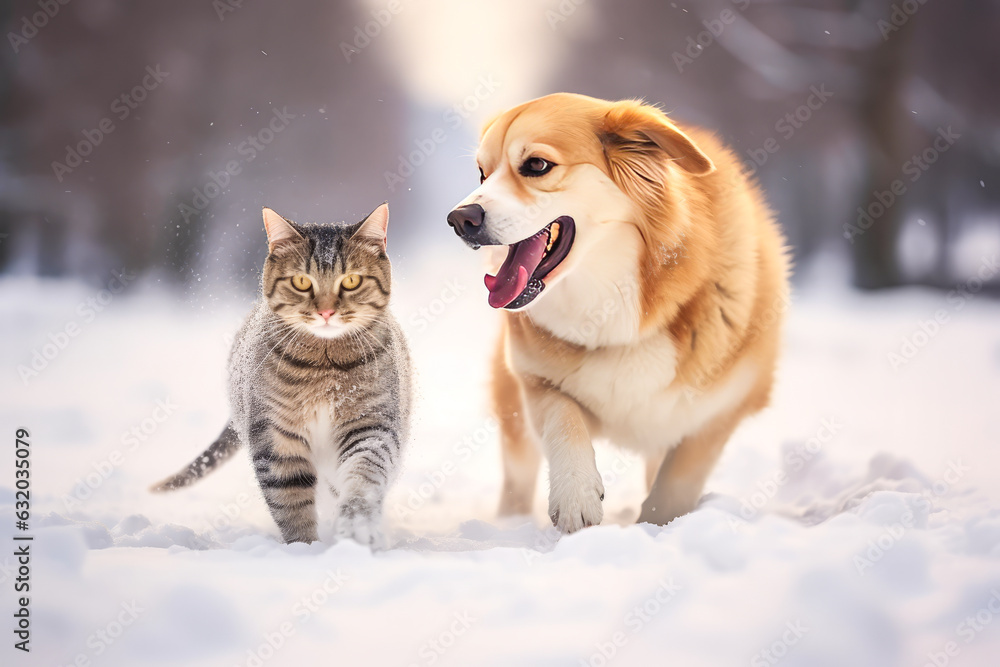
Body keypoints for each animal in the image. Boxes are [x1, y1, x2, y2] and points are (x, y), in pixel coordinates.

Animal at [152, 204, 410, 548]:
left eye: (352, 280)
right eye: (301, 281)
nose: (326, 312)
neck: (324, 366)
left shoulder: (371, 425)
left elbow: (363, 475)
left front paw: (356, 527)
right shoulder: (275, 435)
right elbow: (290, 499)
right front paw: (304, 549)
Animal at [446, 94, 788, 536]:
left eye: (536, 165)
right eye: (482, 173)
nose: (459, 219)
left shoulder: (721, 410)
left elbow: (674, 486)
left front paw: (657, 526)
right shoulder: (536, 381)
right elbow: (564, 418)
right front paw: (576, 494)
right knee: (517, 474)